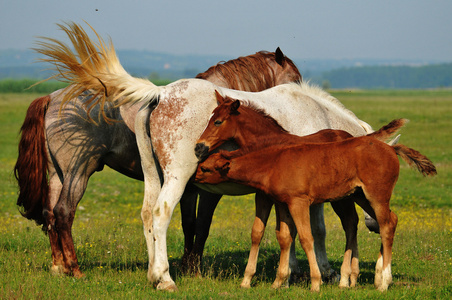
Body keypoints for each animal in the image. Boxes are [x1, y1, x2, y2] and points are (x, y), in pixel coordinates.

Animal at [24, 22, 384, 290]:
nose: (375, 224)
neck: (321, 118)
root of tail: (159, 94)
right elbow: (314, 229)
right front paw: (321, 272)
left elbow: (286, 229)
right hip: (122, 174)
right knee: (149, 213)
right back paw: (158, 277)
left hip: (140, 176)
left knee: (140, 215)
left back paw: (145, 273)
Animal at [195, 99, 438, 292]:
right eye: (210, 118)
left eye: (218, 121)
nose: (199, 147)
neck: (272, 149)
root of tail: (388, 148)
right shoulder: (274, 199)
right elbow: (276, 235)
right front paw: (276, 280)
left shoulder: (278, 199)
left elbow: (284, 235)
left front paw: (286, 279)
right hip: (358, 196)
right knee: (379, 221)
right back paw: (358, 277)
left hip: (367, 197)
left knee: (378, 225)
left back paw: (380, 280)